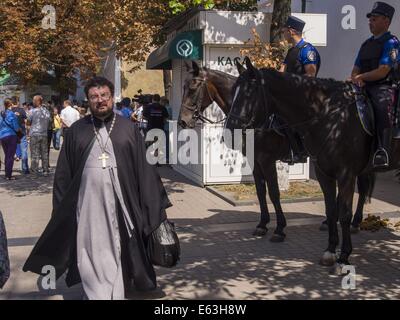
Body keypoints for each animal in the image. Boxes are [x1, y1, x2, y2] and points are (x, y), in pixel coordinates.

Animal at [225, 57, 396, 270]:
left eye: (248, 93)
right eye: (233, 91)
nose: (229, 131)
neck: (332, 117)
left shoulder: (344, 173)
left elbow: (341, 212)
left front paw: (343, 256)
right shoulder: (321, 171)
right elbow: (329, 208)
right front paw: (330, 251)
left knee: (362, 191)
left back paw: (355, 224)